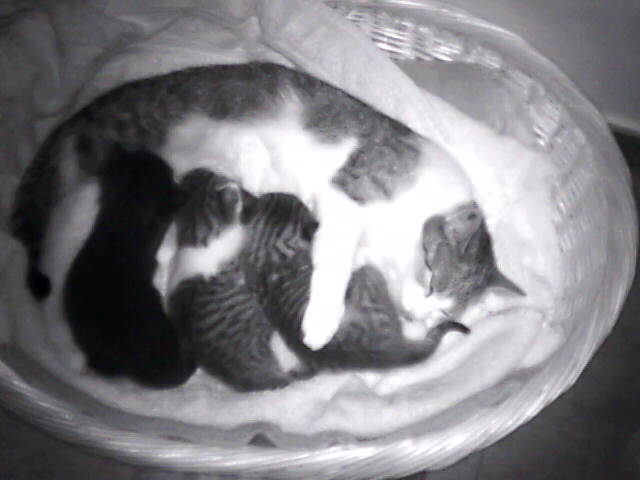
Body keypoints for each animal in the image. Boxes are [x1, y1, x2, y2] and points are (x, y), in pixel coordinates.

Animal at [12, 61, 482, 352]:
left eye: (443, 310)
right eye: (430, 276)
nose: (419, 312)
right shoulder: (347, 193)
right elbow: (335, 257)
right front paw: (321, 320)